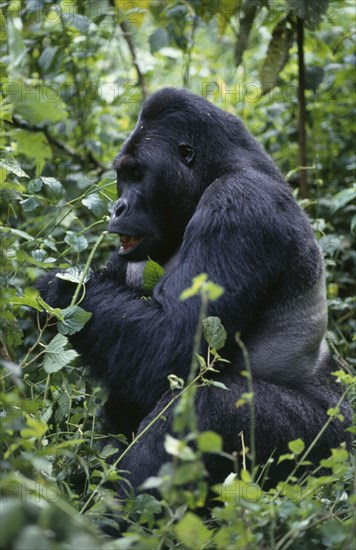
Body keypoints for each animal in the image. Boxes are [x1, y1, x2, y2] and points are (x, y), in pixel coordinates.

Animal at [36, 87, 350, 496]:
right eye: (122, 176)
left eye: (137, 174)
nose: (117, 206)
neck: (217, 169)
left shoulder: (238, 204)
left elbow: (173, 345)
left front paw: (57, 289)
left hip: (331, 445)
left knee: (204, 404)